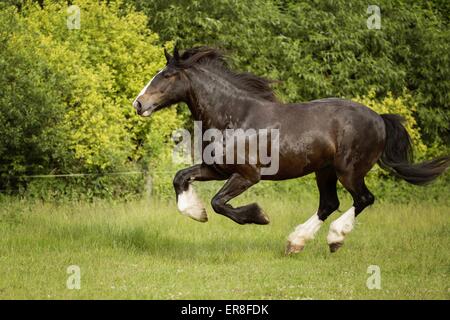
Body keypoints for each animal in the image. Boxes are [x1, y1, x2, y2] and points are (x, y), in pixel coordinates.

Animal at [133, 46, 450, 254]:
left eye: (167, 76)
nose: (138, 103)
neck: (234, 116)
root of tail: (379, 119)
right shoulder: (215, 169)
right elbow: (180, 178)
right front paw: (196, 213)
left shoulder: (247, 175)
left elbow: (219, 203)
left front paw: (259, 215)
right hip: (325, 171)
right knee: (329, 204)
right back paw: (295, 242)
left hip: (349, 171)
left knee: (363, 199)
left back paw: (334, 239)